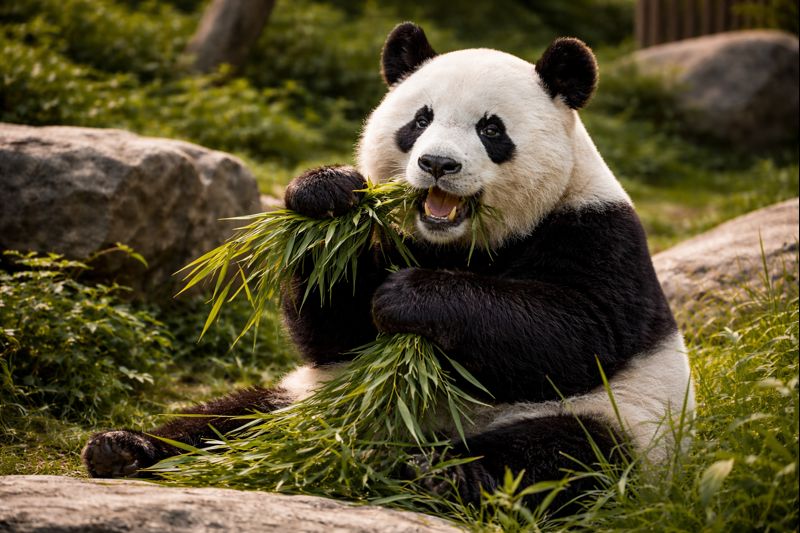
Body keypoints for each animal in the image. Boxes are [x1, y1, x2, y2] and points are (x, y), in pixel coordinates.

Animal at [83, 22, 694, 509]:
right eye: (419, 120)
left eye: (491, 129)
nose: (438, 164)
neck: (456, 244)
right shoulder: (393, 245)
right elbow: (336, 330)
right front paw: (325, 194)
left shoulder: (596, 231)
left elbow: (579, 332)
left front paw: (411, 298)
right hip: (309, 398)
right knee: (233, 419)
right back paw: (125, 448)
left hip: (624, 422)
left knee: (563, 456)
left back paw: (440, 476)